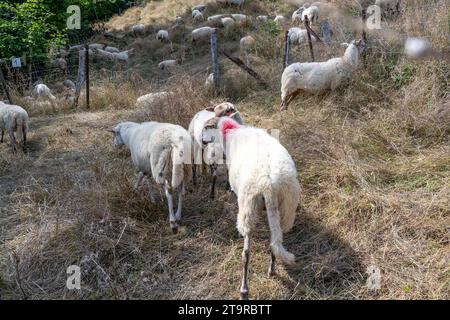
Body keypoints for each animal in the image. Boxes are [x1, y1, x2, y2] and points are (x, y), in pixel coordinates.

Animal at [216, 117, 300, 300]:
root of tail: (269, 185)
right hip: (285, 208)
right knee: (274, 242)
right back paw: (272, 270)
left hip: (248, 208)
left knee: (246, 253)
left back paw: (244, 290)